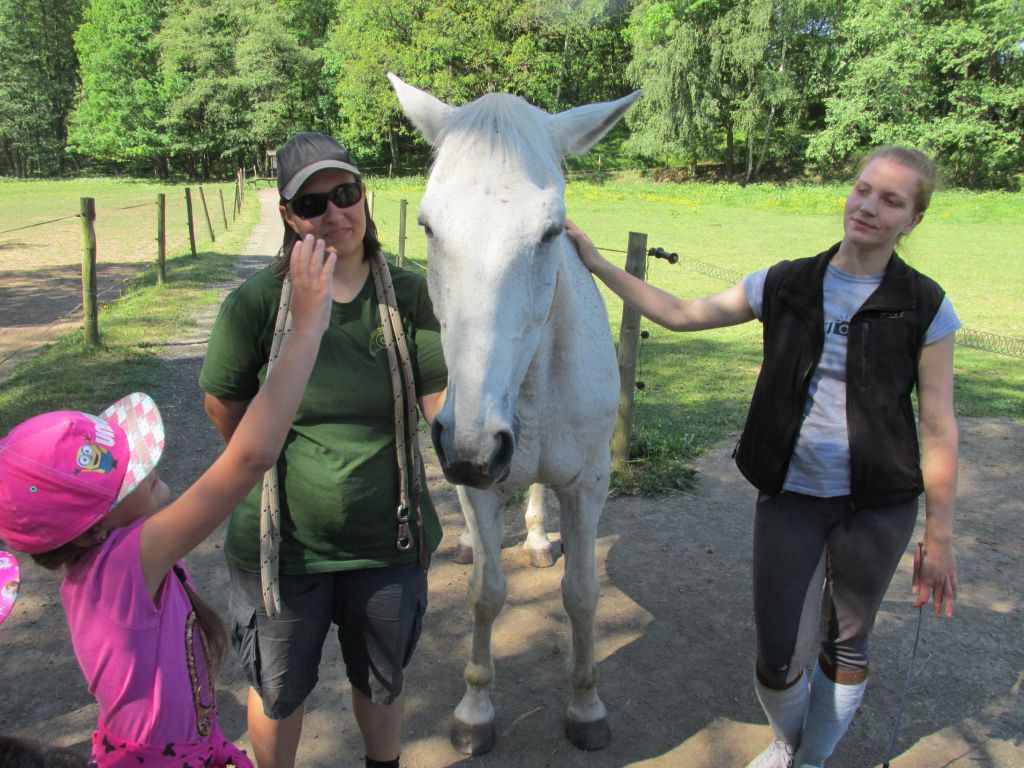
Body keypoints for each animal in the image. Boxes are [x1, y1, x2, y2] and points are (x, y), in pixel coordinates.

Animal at [389, 73, 641, 754]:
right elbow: (486, 594)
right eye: (428, 225)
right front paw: (476, 712)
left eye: (552, 231)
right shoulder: (476, 481)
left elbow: (581, 596)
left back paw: (534, 538)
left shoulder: (588, 484)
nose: (475, 448)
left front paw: (587, 707)